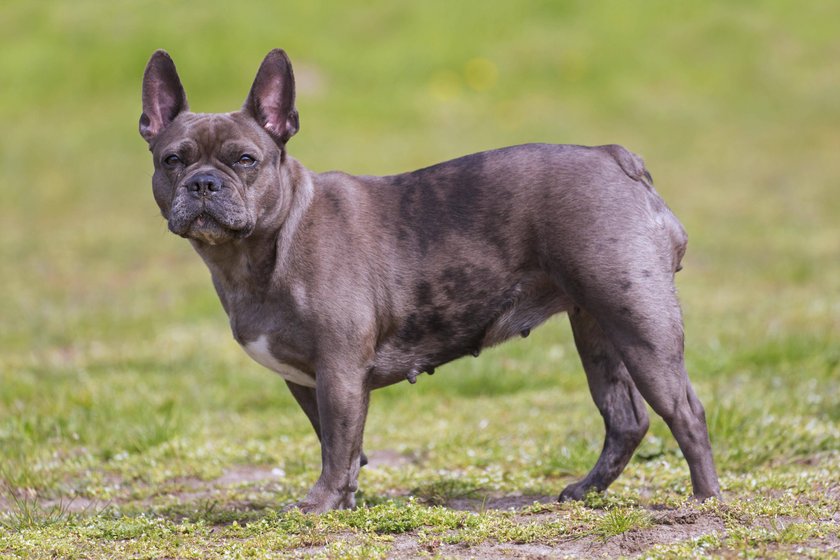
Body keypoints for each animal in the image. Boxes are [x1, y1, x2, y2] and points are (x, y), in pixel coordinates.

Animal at [139, 50, 720, 516]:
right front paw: (345, 502)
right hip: (597, 330)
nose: (203, 183)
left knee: (685, 412)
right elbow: (339, 442)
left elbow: (337, 444)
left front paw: (318, 505)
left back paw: (706, 500)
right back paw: (585, 491)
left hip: (641, 325)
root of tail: (614, 157)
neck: (268, 242)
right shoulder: (307, 381)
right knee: (625, 419)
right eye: (173, 160)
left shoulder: (338, 371)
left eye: (245, 160)